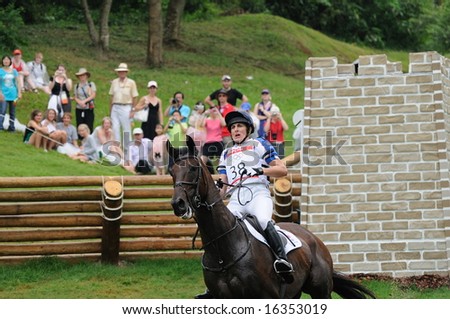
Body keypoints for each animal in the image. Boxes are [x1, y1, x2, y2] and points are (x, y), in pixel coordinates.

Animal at [167, 137, 374, 300]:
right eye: (171, 172)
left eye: (193, 169)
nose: (178, 204)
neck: (223, 250)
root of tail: (313, 238)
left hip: (320, 292)